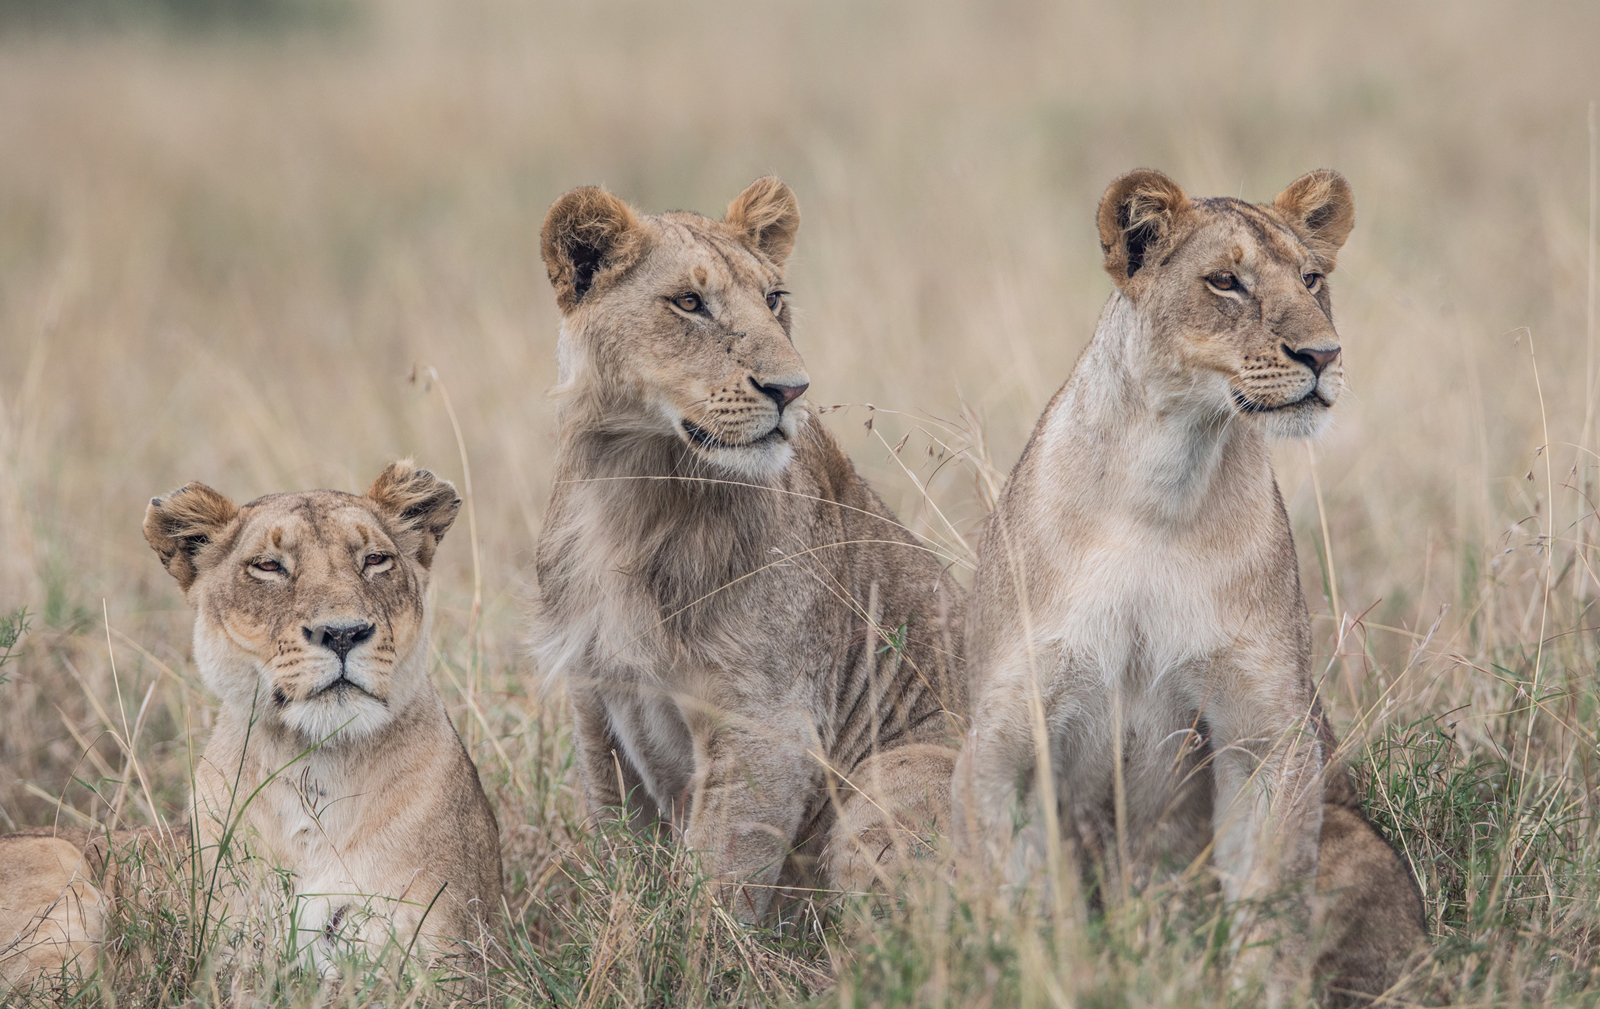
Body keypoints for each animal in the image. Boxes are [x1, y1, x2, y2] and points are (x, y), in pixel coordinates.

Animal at [1, 466, 499, 997]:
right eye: (268, 566)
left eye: (375, 559)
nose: (343, 633)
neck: (315, 770)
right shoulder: (225, 964)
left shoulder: (450, 962)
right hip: (57, 864)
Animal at [534, 175, 960, 921]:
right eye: (689, 302)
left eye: (773, 299)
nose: (792, 390)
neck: (631, 488)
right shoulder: (595, 701)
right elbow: (622, 847)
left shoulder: (768, 721)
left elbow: (716, 881)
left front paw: (698, 948)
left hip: (901, 776)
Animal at [947, 169, 1427, 1004]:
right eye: (1225, 282)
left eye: (1312, 279)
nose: (1323, 353)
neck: (1164, 476)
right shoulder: (1004, 737)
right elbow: (1018, 897)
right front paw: (1035, 973)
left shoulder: (1267, 734)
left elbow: (1267, 904)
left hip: (1352, 837)